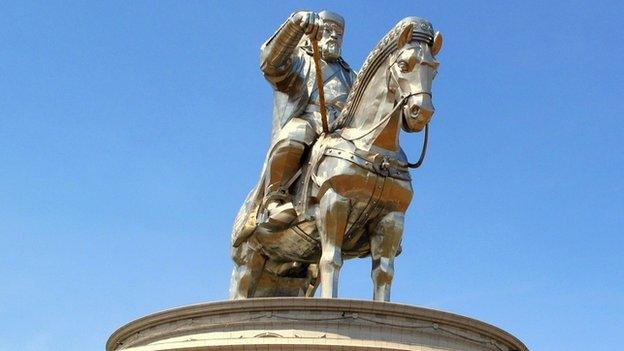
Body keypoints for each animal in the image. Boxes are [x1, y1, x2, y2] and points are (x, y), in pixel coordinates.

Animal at [230, 17, 444, 302]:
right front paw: (304, 20)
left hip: (292, 268)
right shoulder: (334, 202)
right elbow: (331, 260)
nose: (421, 112)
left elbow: (383, 273)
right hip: (248, 258)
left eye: (435, 69)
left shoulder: (391, 217)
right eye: (403, 65)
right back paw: (276, 206)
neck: (374, 151)